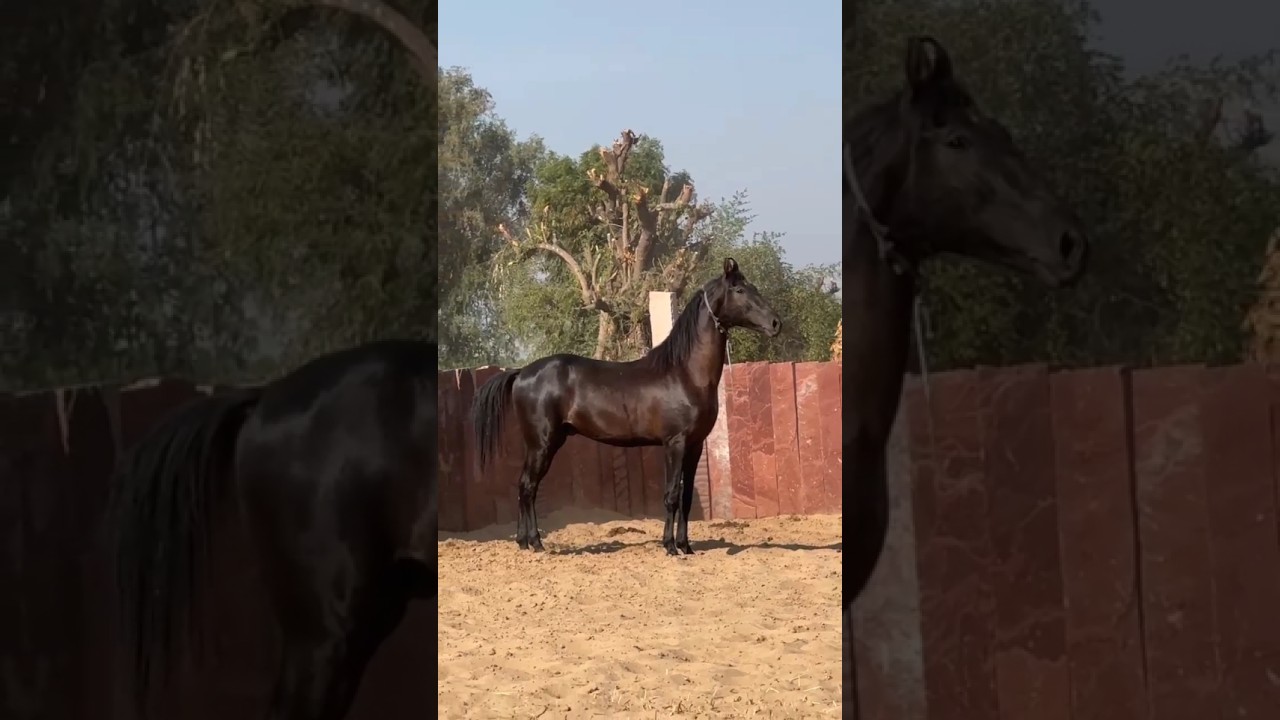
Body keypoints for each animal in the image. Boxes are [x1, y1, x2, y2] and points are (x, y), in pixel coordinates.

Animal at [471, 257, 782, 556]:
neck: (684, 373)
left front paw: (686, 546)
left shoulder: (694, 445)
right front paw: (670, 547)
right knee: (528, 487)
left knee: (524, 486)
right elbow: (671, 496)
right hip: (542, 444)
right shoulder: (675, 443)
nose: (776, 323)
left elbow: (686, 497)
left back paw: (523, 541)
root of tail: (522, 372)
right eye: (739, 290)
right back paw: (535, 542)